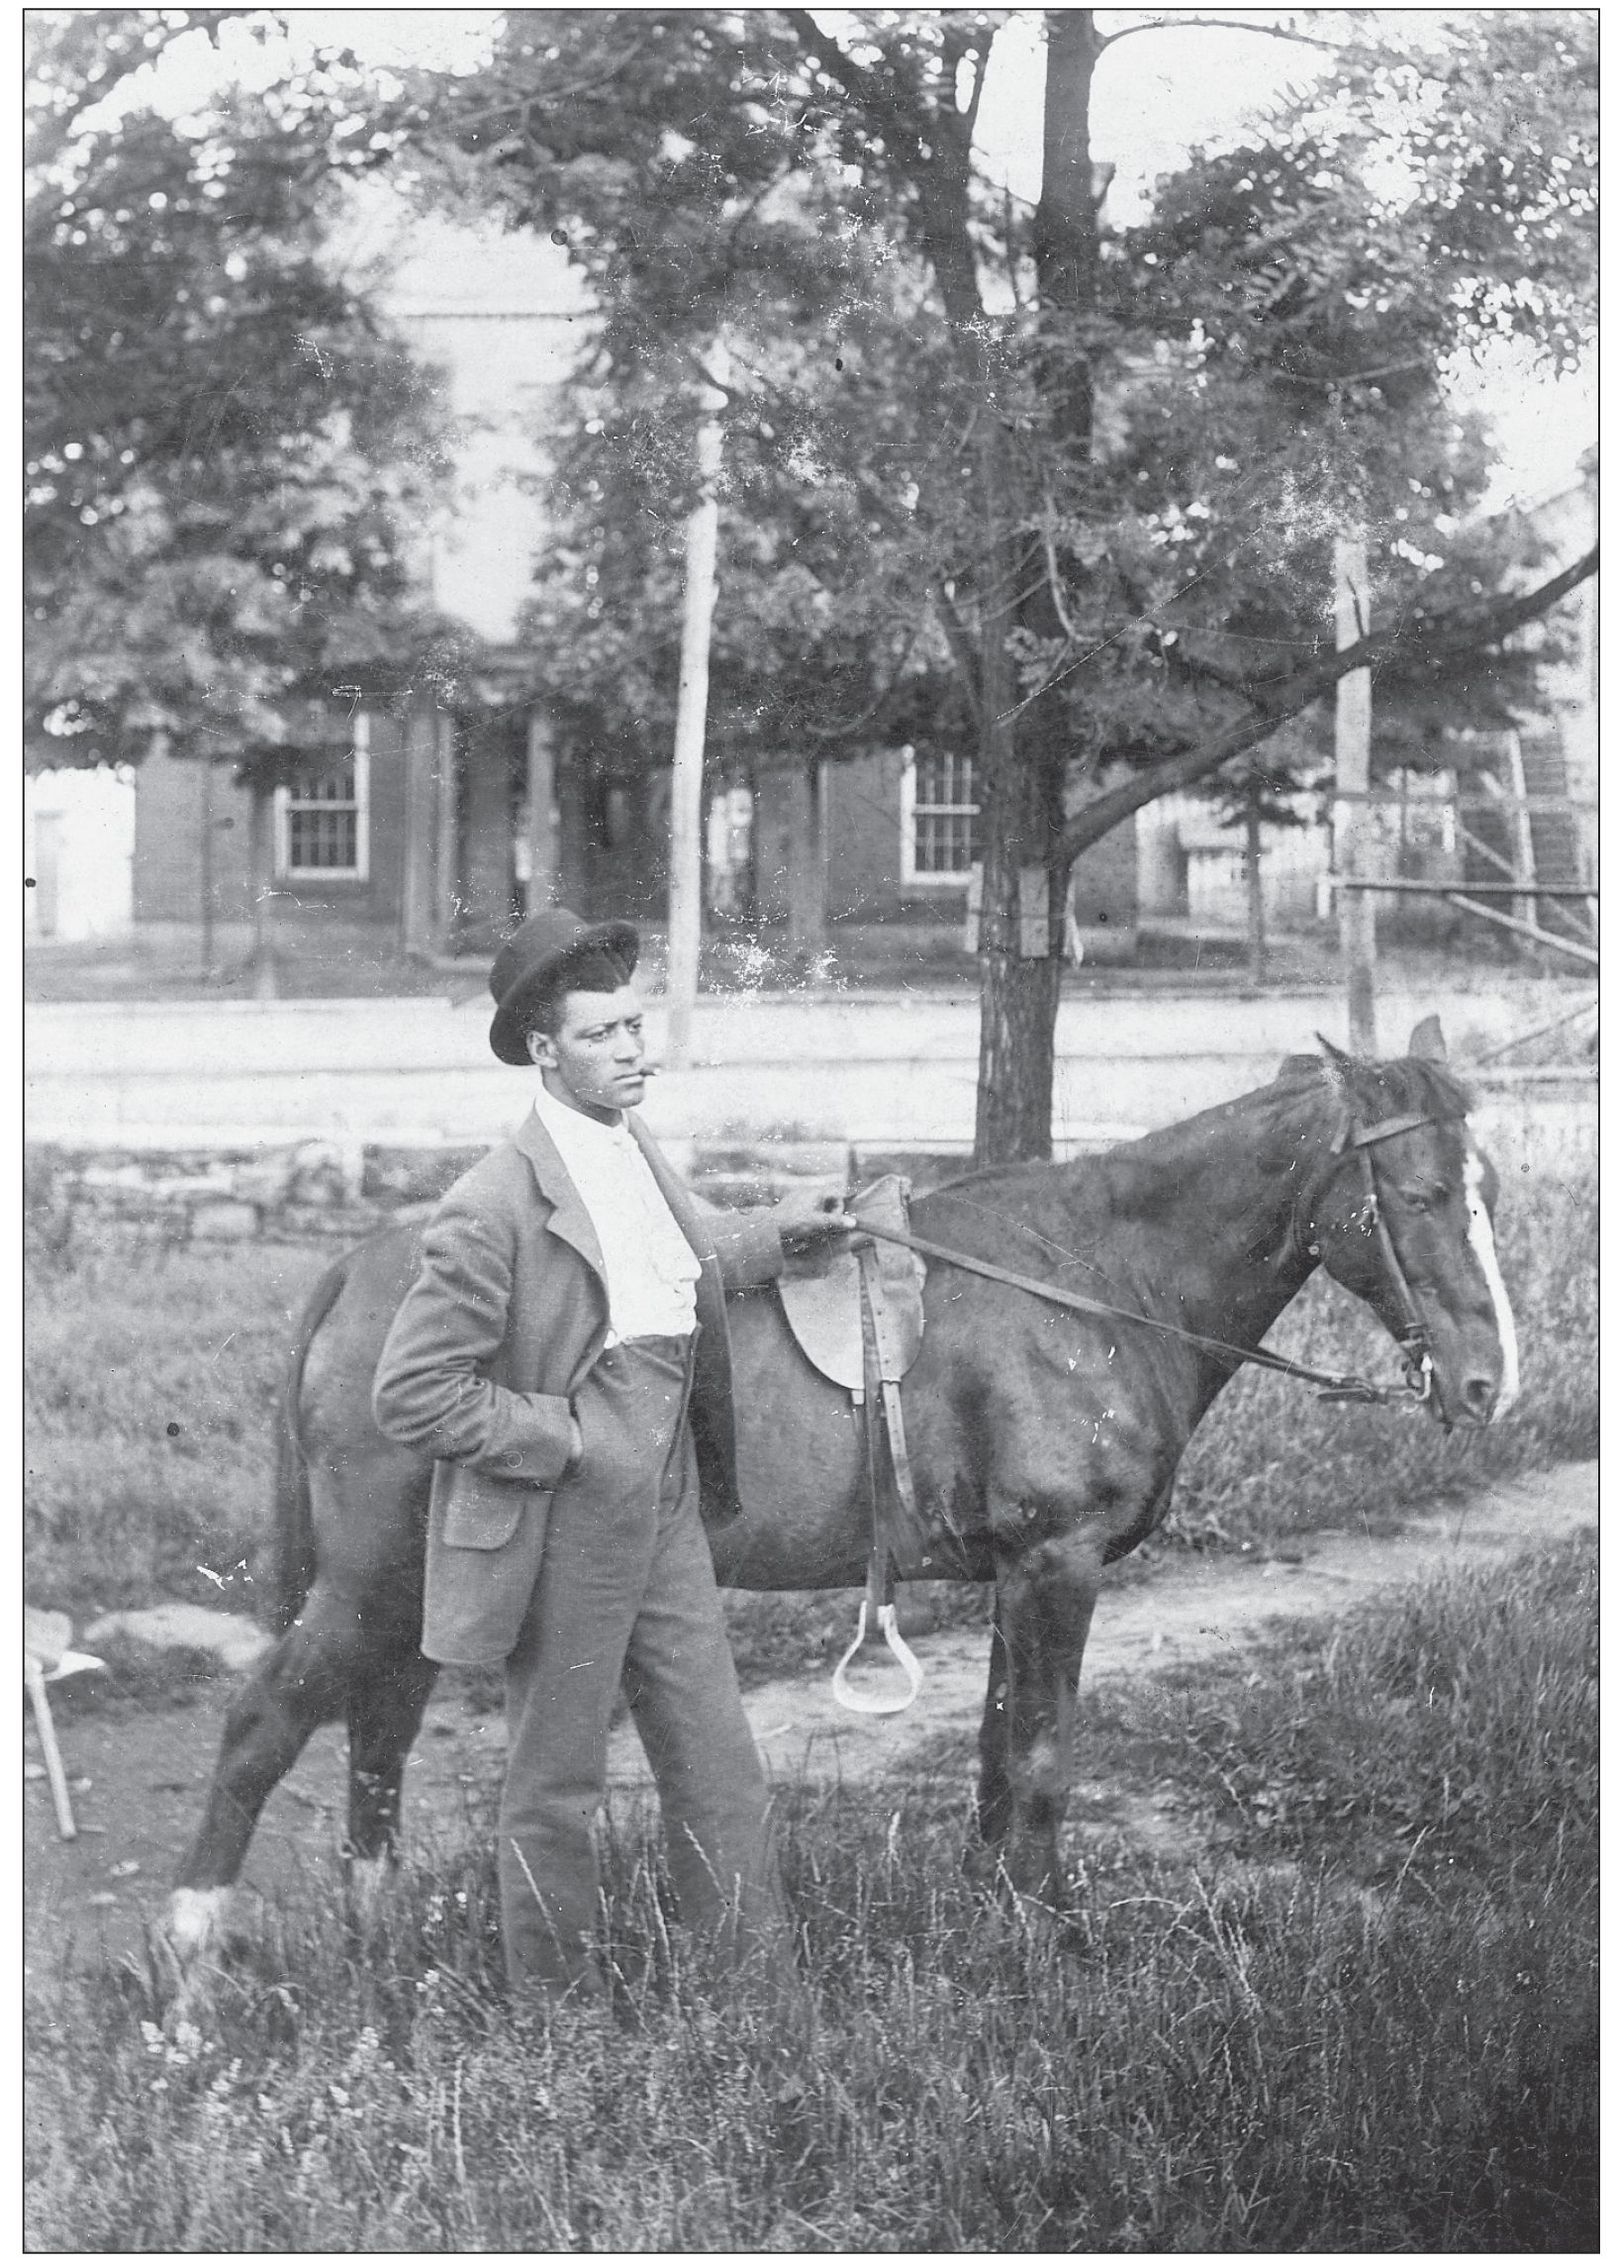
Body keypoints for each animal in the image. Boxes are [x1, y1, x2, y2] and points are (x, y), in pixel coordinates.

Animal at [173, 1037, 1514, 1957]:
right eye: (1422, 1194)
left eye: (1487, 1184)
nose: (1488, 1380)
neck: (1094, 1279)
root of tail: (365, 1267)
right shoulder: (1059, 1561)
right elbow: (1042, 1754)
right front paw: (1051, 1931)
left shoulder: (1020, 1572)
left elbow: (999, 1747)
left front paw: (997, 1904)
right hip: (372, 1581)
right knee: (266, 1727)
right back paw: (188, 1976)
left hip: (415, 1588)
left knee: (379, 1732)